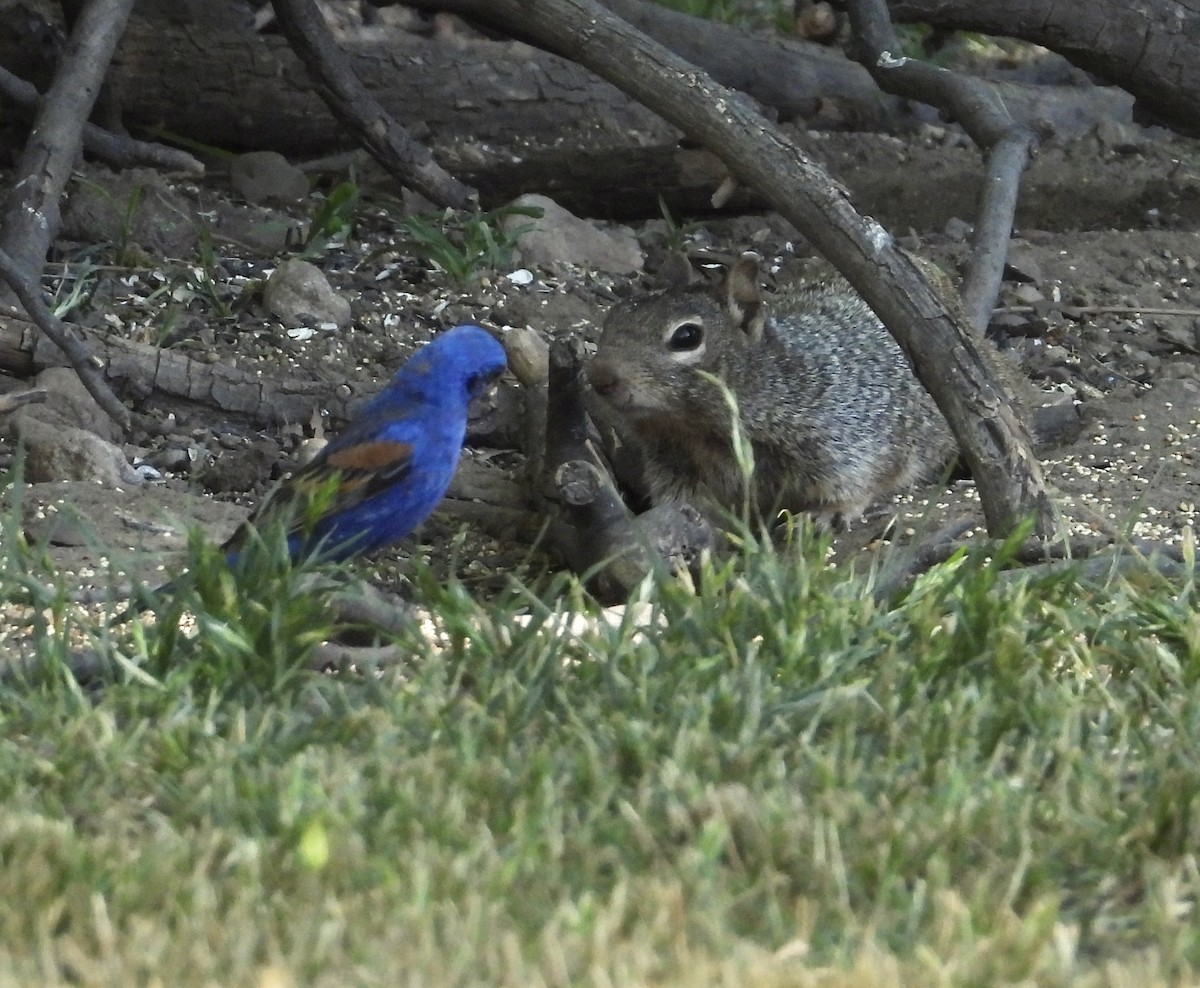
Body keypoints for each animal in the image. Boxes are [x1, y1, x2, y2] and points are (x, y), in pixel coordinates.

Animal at [590, 259, 974, 528]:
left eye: (686, 337)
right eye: (611, 319)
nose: (600, 377)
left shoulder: (846, 434)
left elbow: (856, 479)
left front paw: (830, 513)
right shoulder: (673, 465)